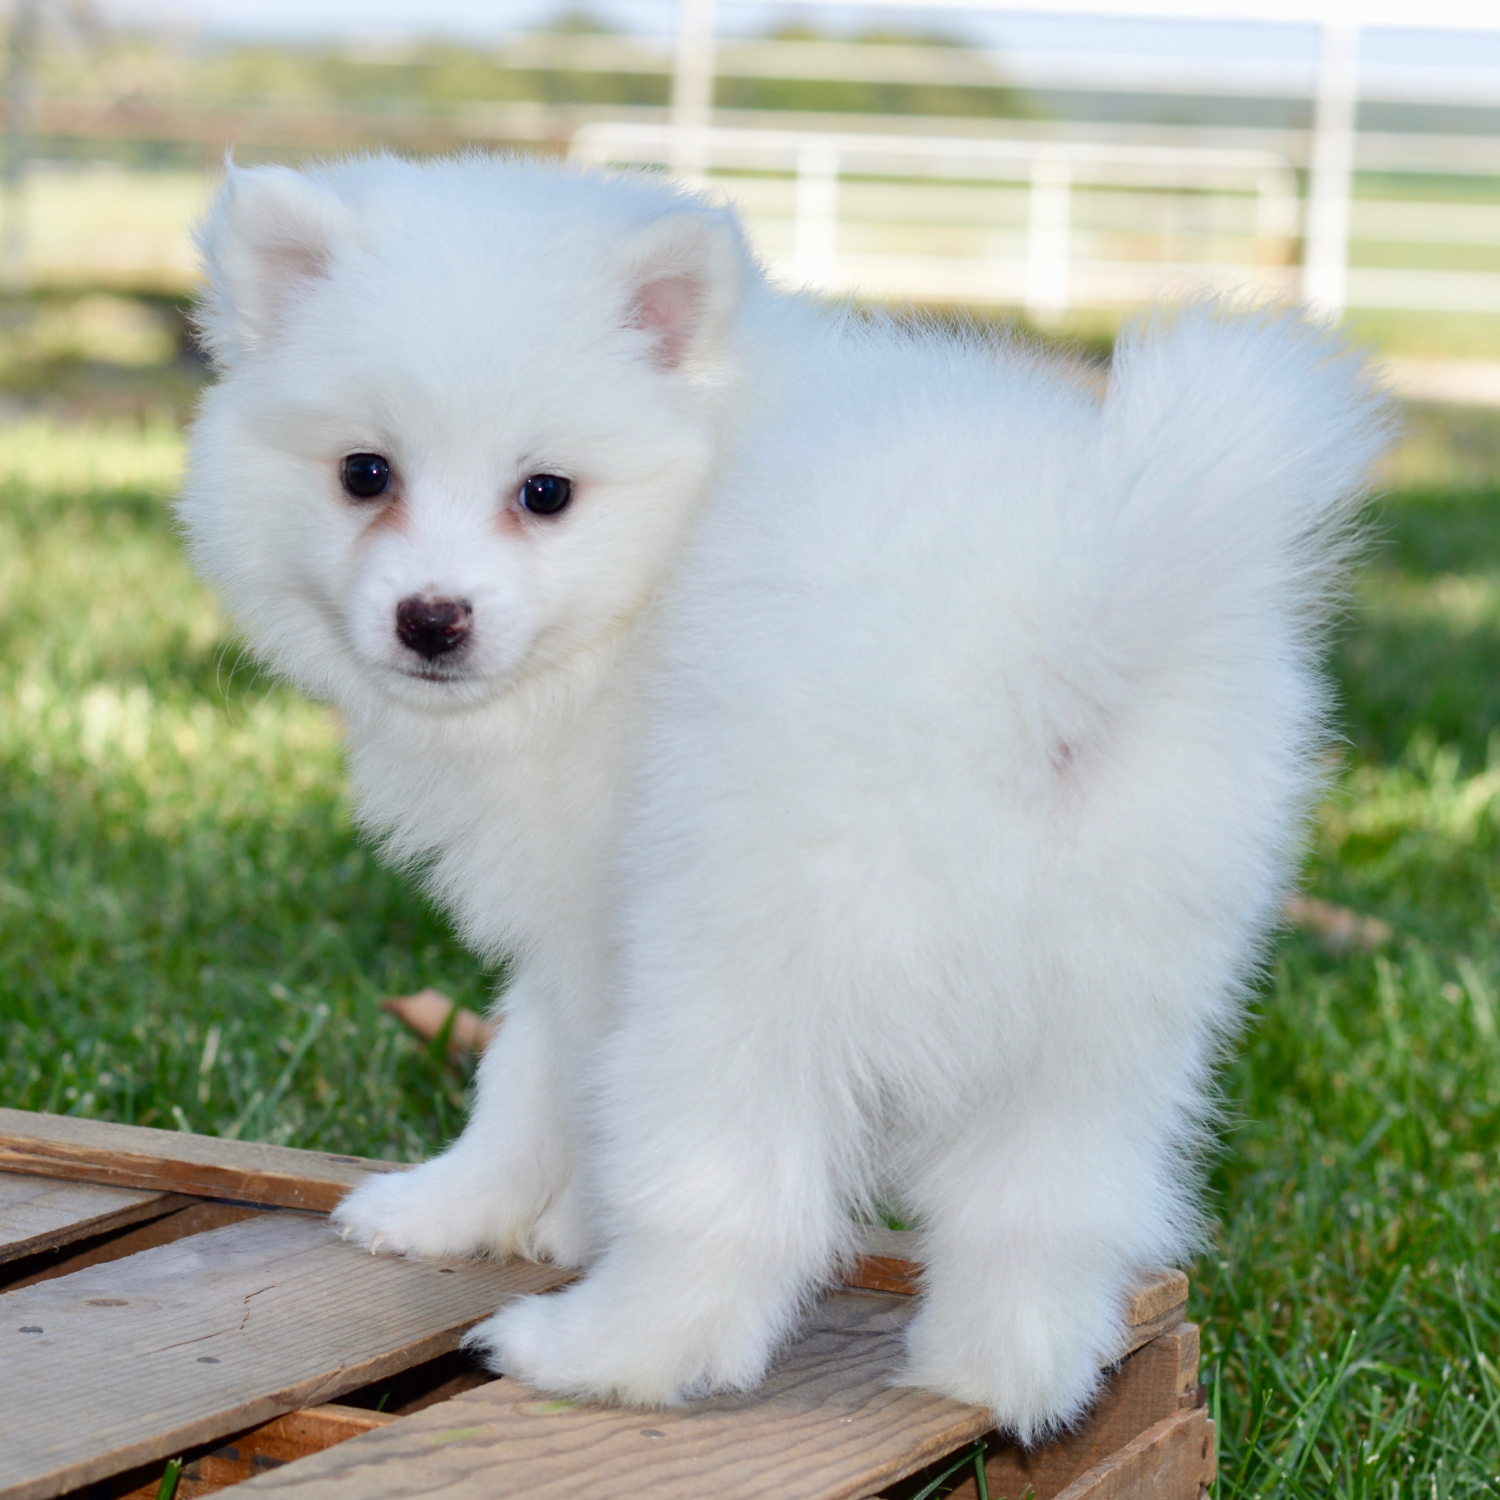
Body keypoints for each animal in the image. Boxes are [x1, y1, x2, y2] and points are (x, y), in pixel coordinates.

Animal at [181, 152, 1386, 1440]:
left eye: (546, 492)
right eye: (365, 473)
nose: (431, 618)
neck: (676, 525)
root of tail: (1061, 646)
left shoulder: (596, 911)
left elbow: (532, 1074)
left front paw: (472, 1212)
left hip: (747, 959)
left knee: (737, 1209)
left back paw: (597, 1351)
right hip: (1118, 998)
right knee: (1051, 1201)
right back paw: (997, 1377)